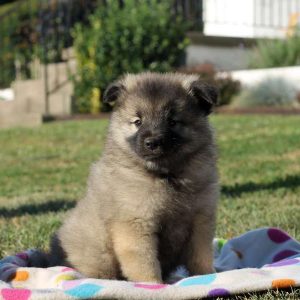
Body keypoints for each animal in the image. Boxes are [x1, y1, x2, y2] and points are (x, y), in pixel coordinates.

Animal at [48, 71, 218, 282]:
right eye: (138, 121)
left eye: (172, 121)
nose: (152, 142)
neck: (165, 176)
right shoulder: (136, 225)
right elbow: (144, 263)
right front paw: (153, 285)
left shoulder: (200, 222)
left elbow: (201, 257)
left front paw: (208, 277)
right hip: (99, 254)